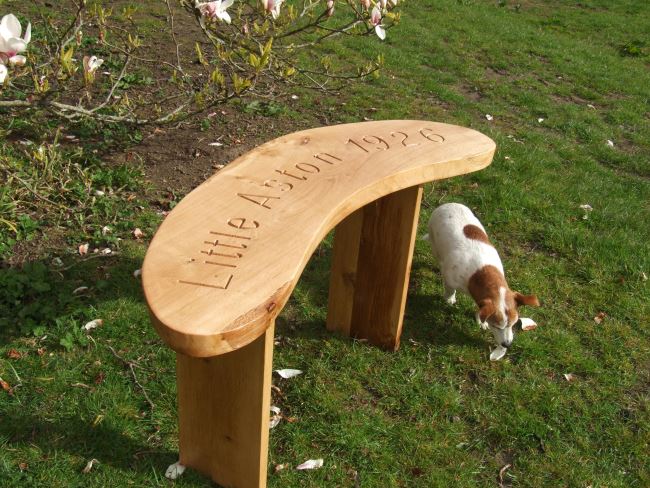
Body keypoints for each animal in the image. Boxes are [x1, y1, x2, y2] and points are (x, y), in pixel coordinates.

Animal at [426, 202, 536, 358]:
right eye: (497, 326)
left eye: (513, 324)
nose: (507, 345)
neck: (481, 272)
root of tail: (448, 204)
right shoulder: (450, 280)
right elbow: (450, 290)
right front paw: (450, 299)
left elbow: (479, 308)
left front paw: (481, 321)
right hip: (434, 242)